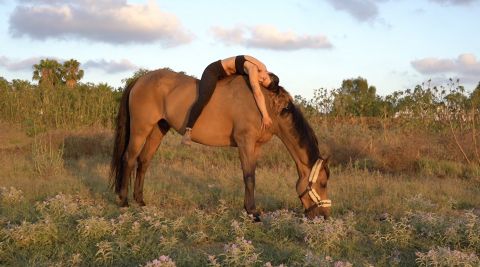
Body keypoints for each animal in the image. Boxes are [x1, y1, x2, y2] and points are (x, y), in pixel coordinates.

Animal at [110, 68, 332, 220]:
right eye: (322, 183)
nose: (324, 216)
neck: (268, 106)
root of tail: (140, 80)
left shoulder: (256, 147)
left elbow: (251, 176)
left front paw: (248, 209)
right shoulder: (245, 142)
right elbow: (249, 177)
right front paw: (252, 212)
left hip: (158, 130)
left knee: (143, 162)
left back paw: (140, 201)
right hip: (140, 129)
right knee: (129, 159)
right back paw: (123, 201)